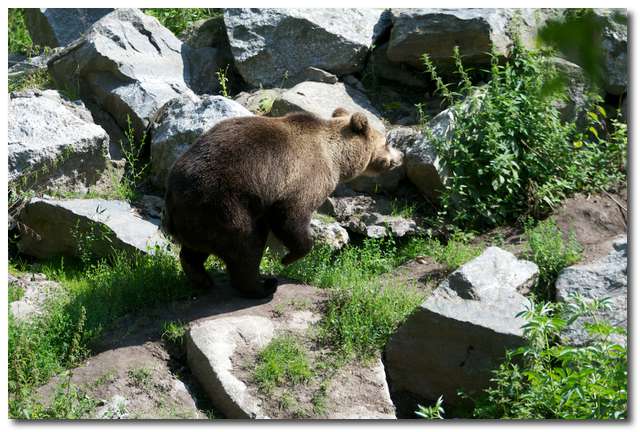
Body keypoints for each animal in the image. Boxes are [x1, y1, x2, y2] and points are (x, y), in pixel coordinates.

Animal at [165, 108, 402, 298]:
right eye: (387, 142)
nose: (399, 157)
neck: (336, 157)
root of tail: (172, 196)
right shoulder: (305, 174)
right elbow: (291, 214)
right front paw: (289, 257)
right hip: (224, 204)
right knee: (247, 244)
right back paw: (262, 286)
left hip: (198, 218)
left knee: (196, 250)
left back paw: (201, 278)